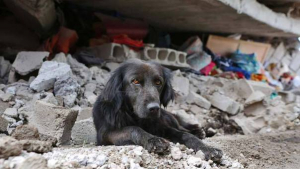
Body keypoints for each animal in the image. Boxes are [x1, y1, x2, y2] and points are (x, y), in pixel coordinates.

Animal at [94, 59, 223, 161]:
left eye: (158, 82)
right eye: (135, 81)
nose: (154, 108)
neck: (138, 119)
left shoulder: (163, 127)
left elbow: (185, 135)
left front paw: (207, 148)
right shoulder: (105, 134)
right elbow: (133, 129)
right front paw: (154, 140)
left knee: (183, 127)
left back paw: (200, 132)